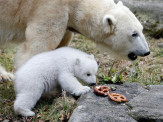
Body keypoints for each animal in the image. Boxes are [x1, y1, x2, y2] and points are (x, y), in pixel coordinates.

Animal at [0, 0, 150, 82]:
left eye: (142, 29)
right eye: (134, 34)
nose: (147, 52)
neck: (75, 3)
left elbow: (62, 43)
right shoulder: (49, 8)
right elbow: (38, 47)